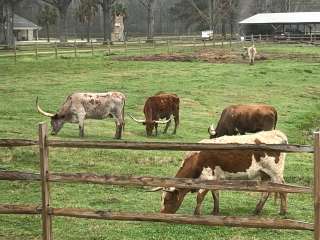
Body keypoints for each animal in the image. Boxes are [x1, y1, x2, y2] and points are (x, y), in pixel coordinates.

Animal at [155, 130, 288, 217]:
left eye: (167, 199)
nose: (162, 214)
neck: (197, 157)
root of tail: (276, 133)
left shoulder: (208, 178)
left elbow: (200, 197)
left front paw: (196, 213)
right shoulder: (215, 179)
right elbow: (216, 194)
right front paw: (215, 211)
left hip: (276, 173)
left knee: (283, 190)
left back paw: (283, 211)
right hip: (264, 174)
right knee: (266, 192)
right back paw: (257, 211)